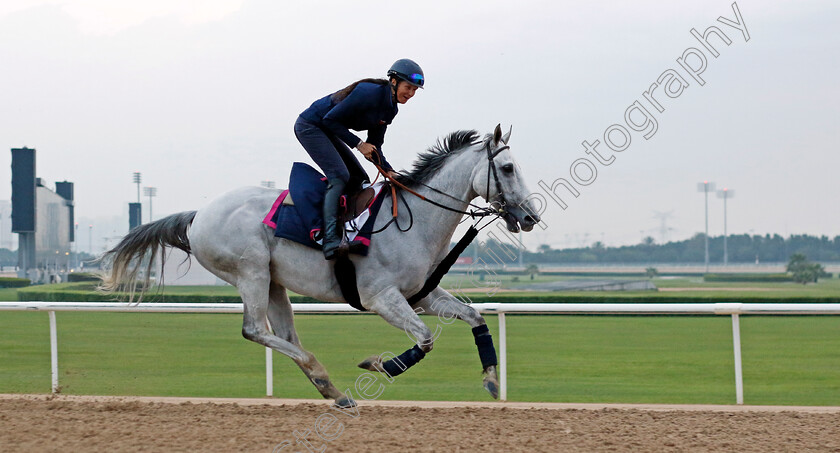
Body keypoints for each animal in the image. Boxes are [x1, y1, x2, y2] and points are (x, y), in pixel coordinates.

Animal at [101, 123, 540, 406]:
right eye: (507, 168)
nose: (531, 217)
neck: (415, 220)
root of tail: (197, 215)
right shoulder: (381, 298)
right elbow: (425, 338)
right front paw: (379, 364)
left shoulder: (421, 294)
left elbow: (474, 317)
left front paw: (491, 380)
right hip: (250, 272)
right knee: (254, 330)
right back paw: (324, 375)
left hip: (274, 283)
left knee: (284, 335)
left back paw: (331, 388)